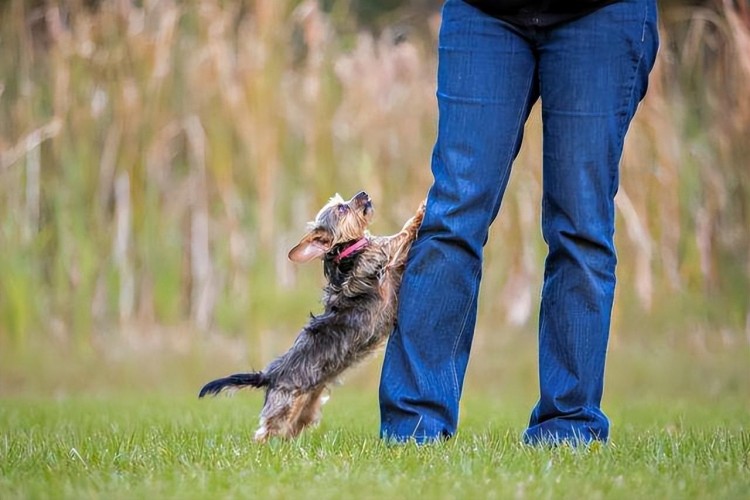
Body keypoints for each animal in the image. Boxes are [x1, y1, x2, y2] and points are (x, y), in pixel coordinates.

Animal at [197, 191, 426, 442]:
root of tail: (270, 375)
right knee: (264, 432)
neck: (347, 252)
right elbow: (402, 233)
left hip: (306, 407)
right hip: (284, 405)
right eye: (341, 209)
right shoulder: (382, 256)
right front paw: (422, 210)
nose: (363, 193)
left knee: (288, 429)